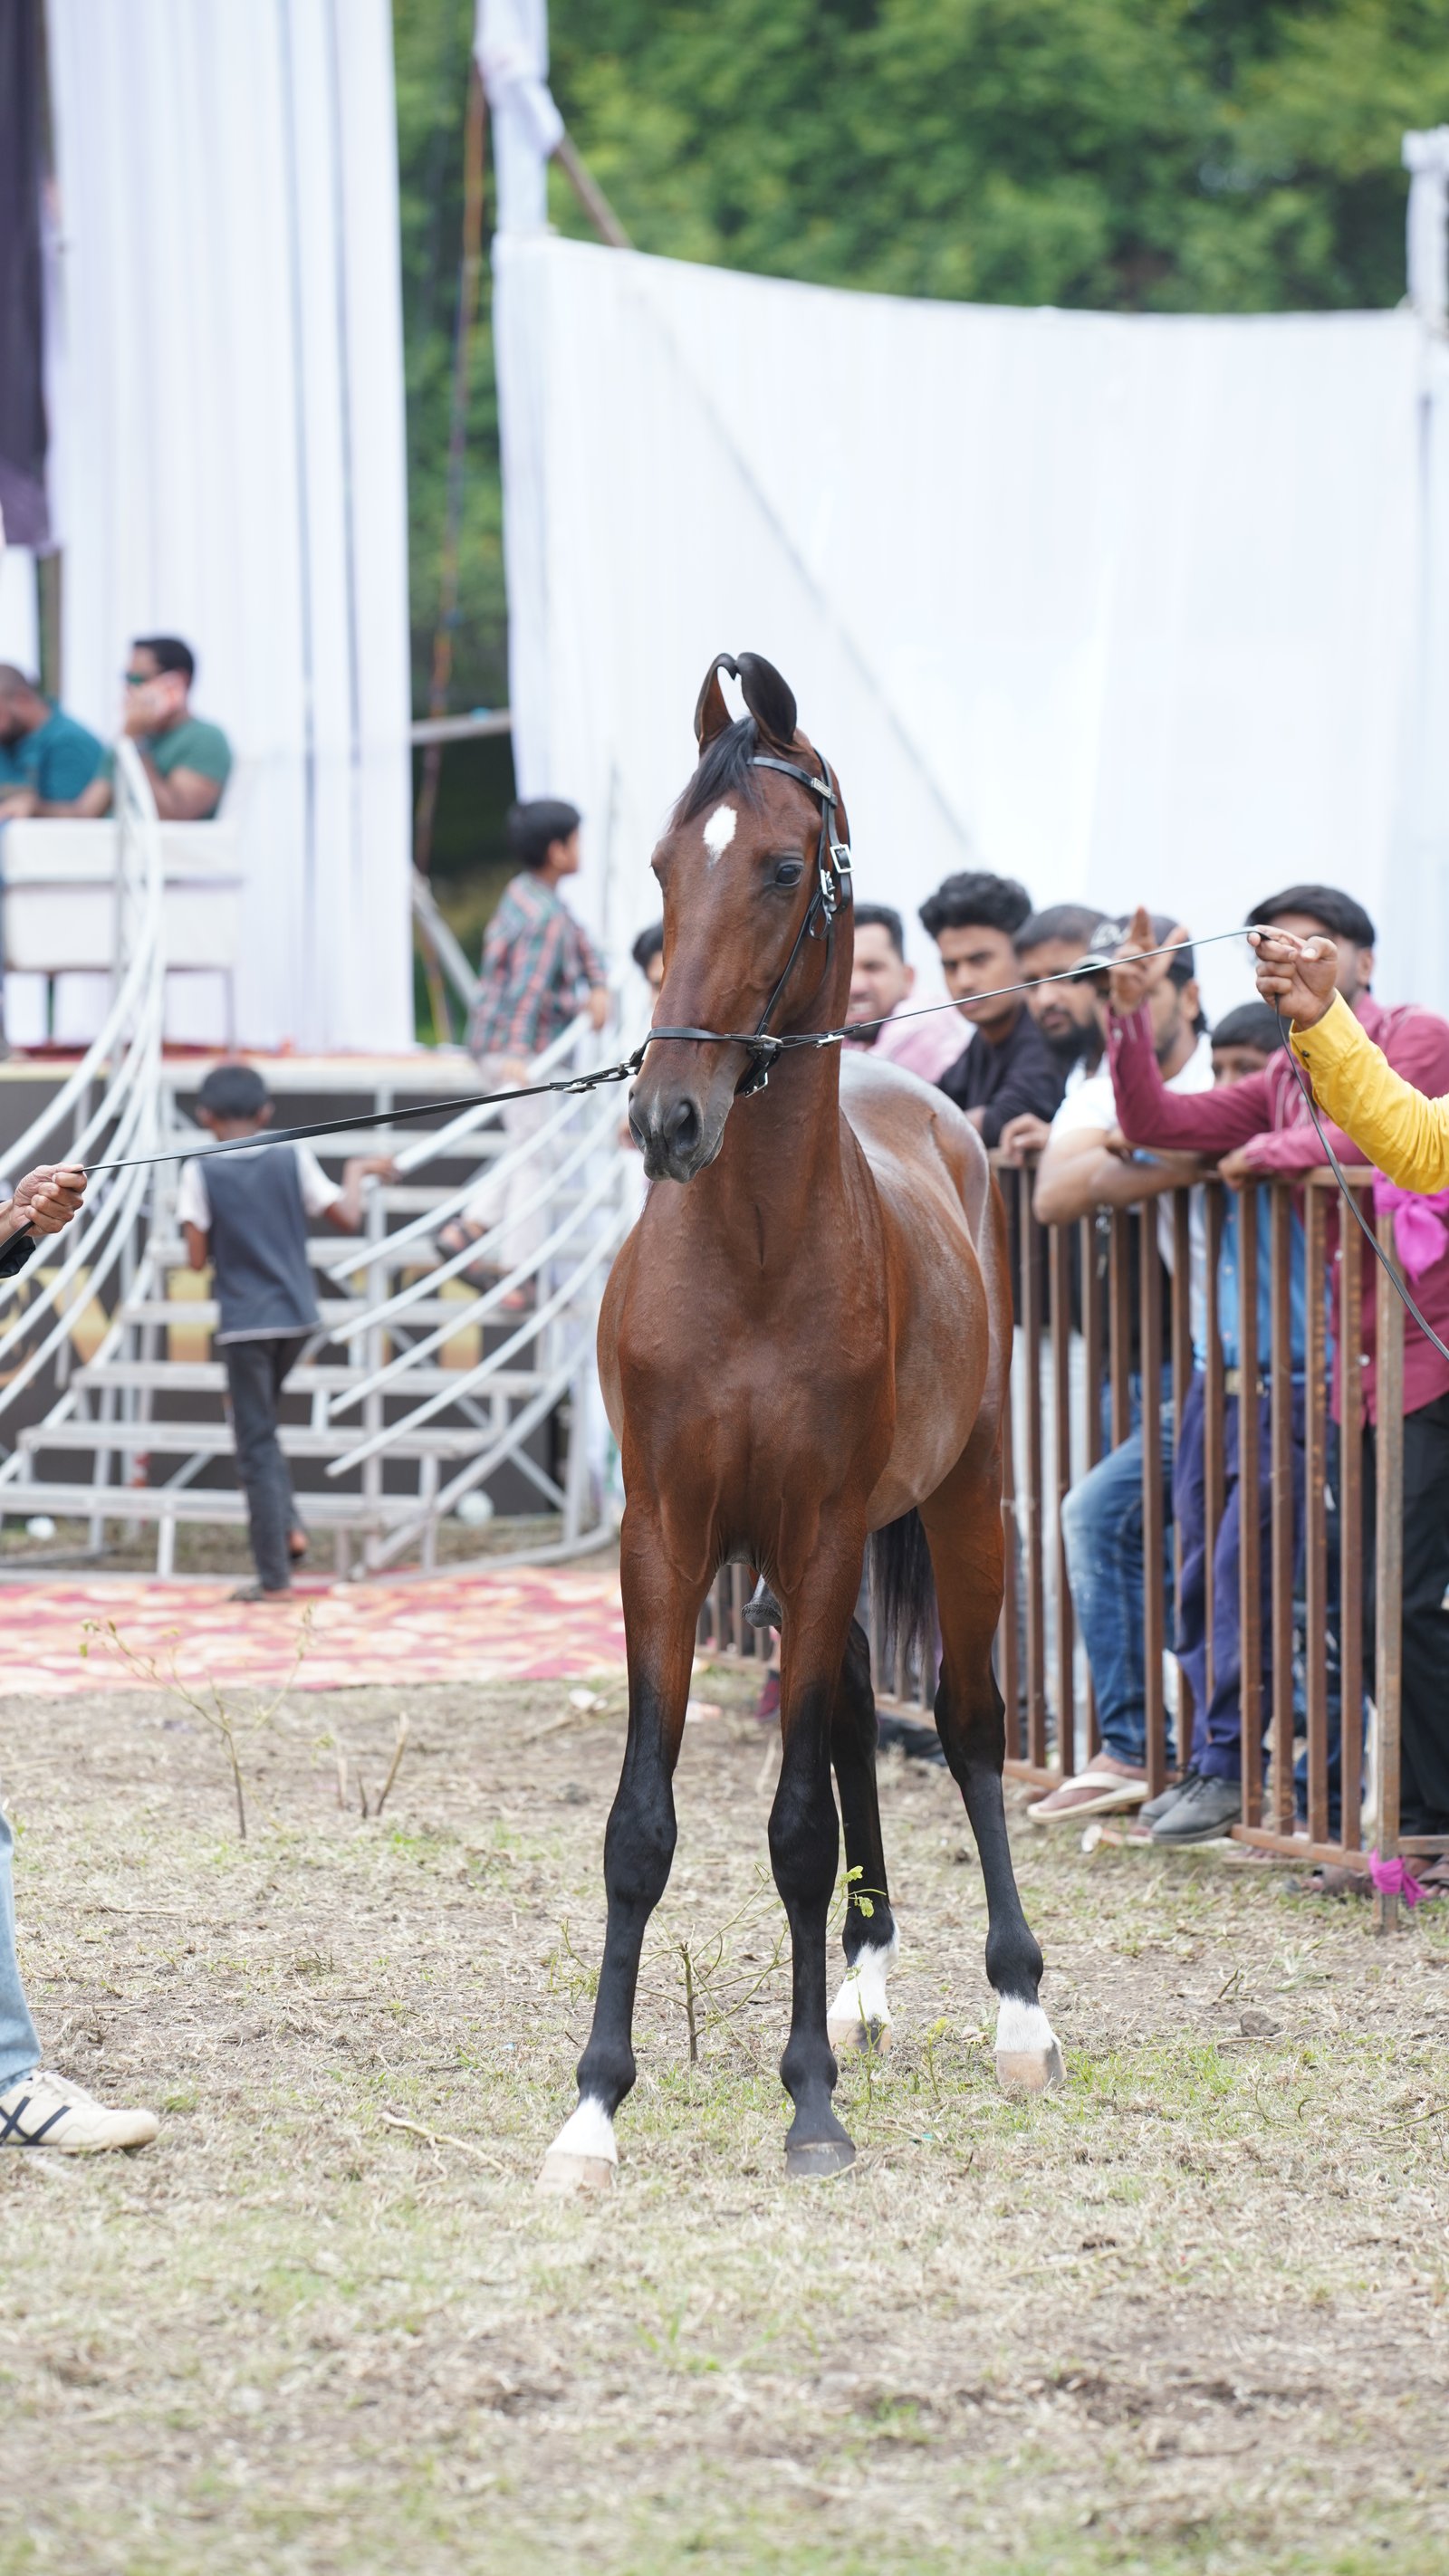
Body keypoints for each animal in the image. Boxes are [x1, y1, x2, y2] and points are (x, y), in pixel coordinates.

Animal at [539, 651, 1061, 2192]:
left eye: (781, 869)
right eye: (664, 867)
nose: (668, 1115)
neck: (753, 1252)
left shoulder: (827, 1531)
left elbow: (791, 1824)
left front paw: (810, 2100)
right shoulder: (669, 1540)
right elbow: (643, 1825)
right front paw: (595, 2102)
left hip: (958, 1503)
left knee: (962, 1721)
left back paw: (1018, 2009)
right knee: (840, 1719)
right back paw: (867, 1970)